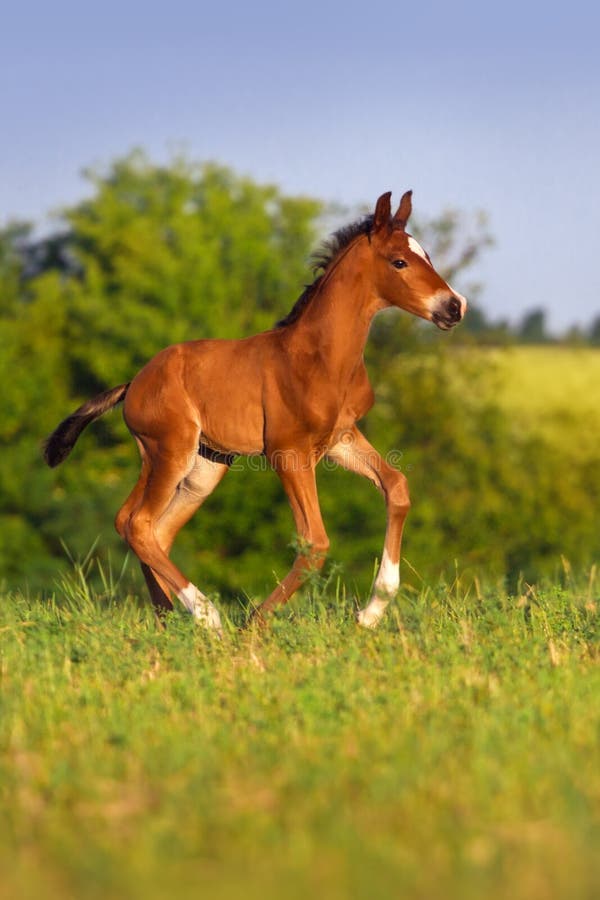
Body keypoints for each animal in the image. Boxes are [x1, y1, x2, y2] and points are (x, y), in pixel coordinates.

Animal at [44, 187, 466, 628]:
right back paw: (208, 619)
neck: (321, 357)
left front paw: (371, 612)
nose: (455, 307)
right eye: (399, 261)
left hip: (203, 468)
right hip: (170, 451)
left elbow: (397, 487)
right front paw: (254, 624)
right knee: (137, 523)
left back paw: (167, 619)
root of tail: (134, 384)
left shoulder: (340, 440)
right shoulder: (287, 451)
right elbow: (314, 541)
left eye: (427, 255)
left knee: (152, 529)